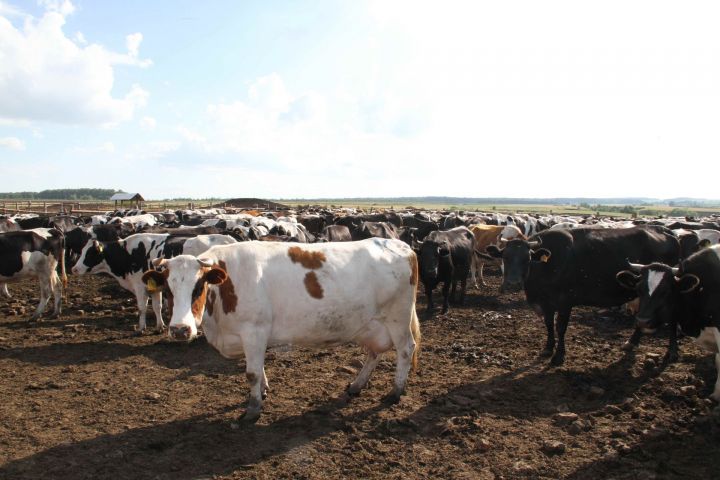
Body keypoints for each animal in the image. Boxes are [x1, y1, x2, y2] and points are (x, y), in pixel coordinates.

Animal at [141, 239, 422, 420]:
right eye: (167, 289)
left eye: (198, 286)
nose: (180, 329)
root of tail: (402, 245)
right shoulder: (255, 336)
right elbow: (259, 369)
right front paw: (264, 391)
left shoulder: (253, 330)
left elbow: (252, 372)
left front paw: (253, 408)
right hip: (372, 323)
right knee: (374, 352)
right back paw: (356, 385)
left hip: (398, 317)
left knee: (406, 349)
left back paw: (395, 391)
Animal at [484, 227, 680, 366]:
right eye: (505, 257)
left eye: (527, 258)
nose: (513, 283)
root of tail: (666, 231)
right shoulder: (546, 303)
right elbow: (549, 324)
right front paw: (548, 348)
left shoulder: (565, 302)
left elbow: (560, 327)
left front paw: (558, 356)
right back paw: (632, 342)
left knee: (673, 319)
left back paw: (670, 352)